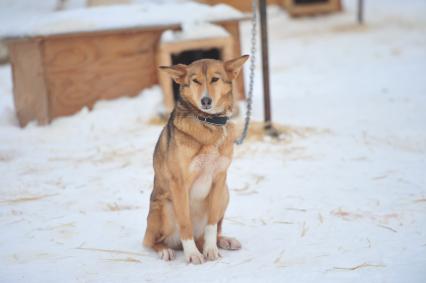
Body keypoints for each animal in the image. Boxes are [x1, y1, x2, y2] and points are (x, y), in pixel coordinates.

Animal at [144, 55, 250, 264]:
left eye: (215, 79)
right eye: (196, 81)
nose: (206, 100)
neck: (208, 122)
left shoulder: (219, 179)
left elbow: (211, 224)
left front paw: (210, 249)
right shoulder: (179, 183)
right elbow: (185, 224)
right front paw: (192, 254)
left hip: (225, 194)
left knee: (211, 232)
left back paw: (223, 241)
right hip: (166, 207)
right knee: (152, 241)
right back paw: (165, 250)